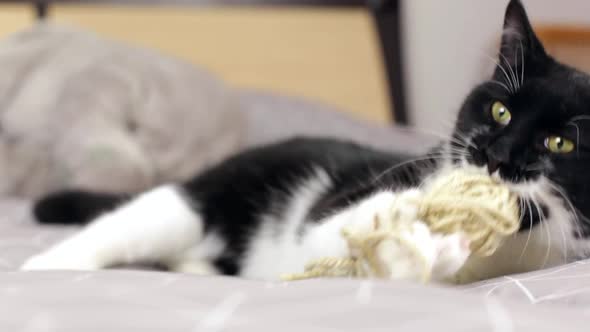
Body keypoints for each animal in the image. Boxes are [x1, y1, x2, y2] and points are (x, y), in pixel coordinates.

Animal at [24, 1, 590, 282]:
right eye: (500, 111)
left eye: (560, 144)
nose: (495, 157)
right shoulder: (325, 219)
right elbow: (330, 229)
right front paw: (400, 211)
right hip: (210, 193)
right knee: (131, 221)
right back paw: (42, 268)